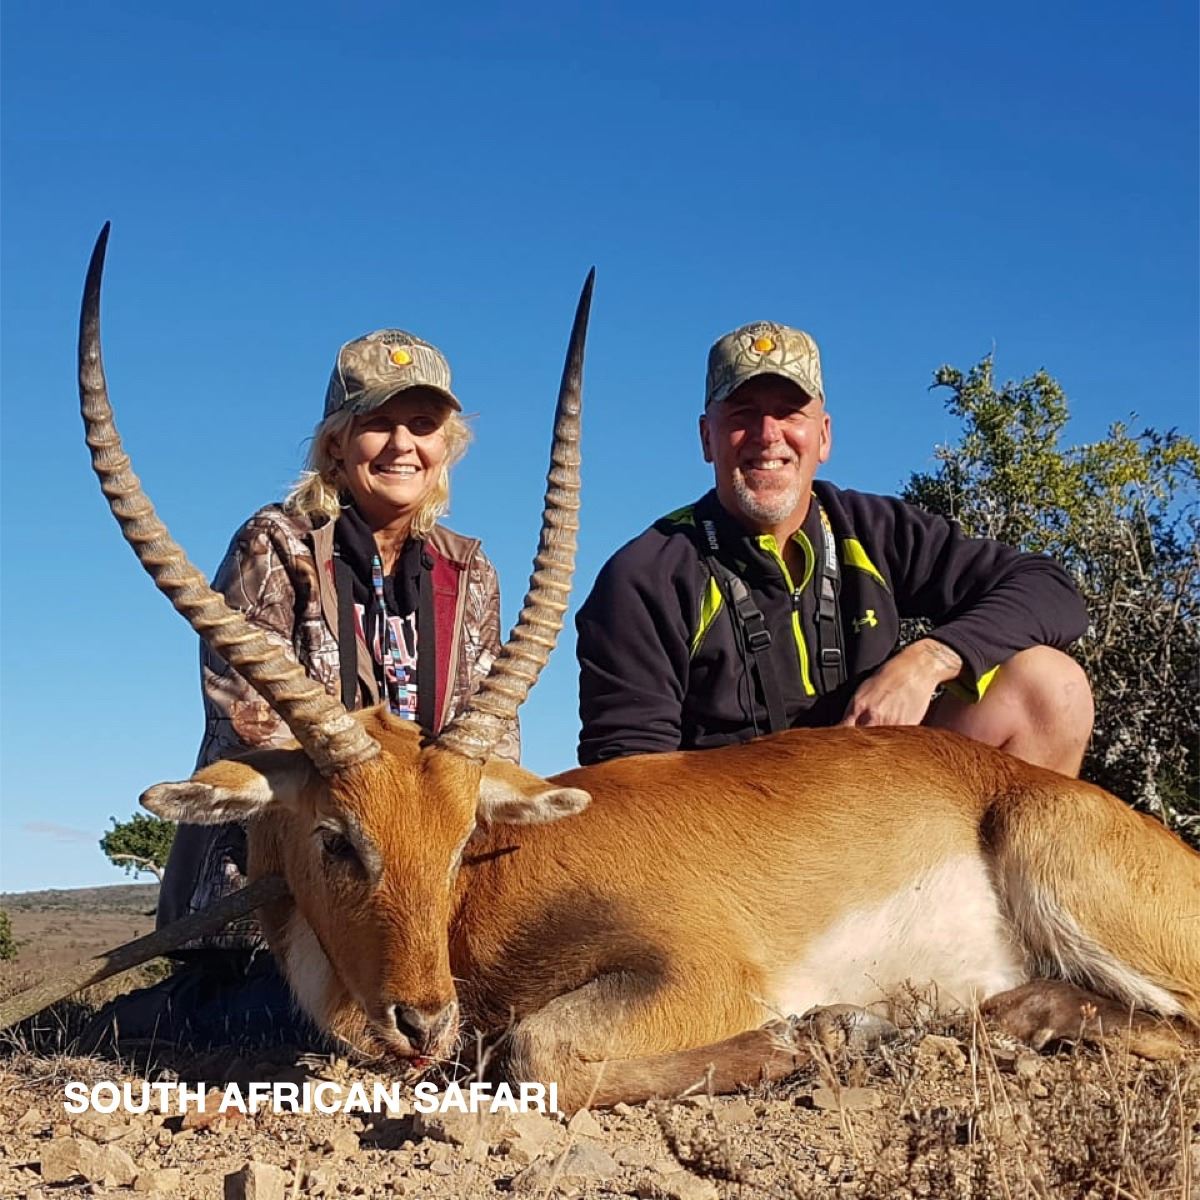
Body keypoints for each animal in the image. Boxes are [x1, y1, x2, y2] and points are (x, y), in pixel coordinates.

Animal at [10, 225, 1196, 1115]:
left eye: (461, 840)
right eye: (337, 838)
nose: (422, 1020)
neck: (493, 891)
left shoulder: (700, 971)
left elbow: (533, 1052)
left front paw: (824, 1033)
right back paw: (1007, 1018)